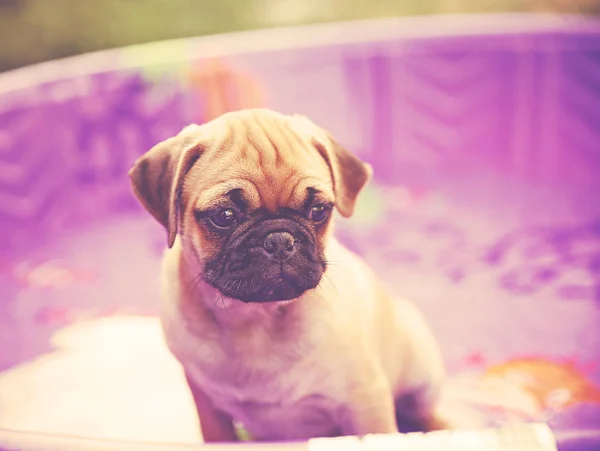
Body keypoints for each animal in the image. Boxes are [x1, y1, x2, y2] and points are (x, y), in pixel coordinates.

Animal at [130, 110, 446, 444]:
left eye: (319, 210)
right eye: (224, 216)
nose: (279, 240)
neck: (255, 321)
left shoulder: (365, 401)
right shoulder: (208, 408)